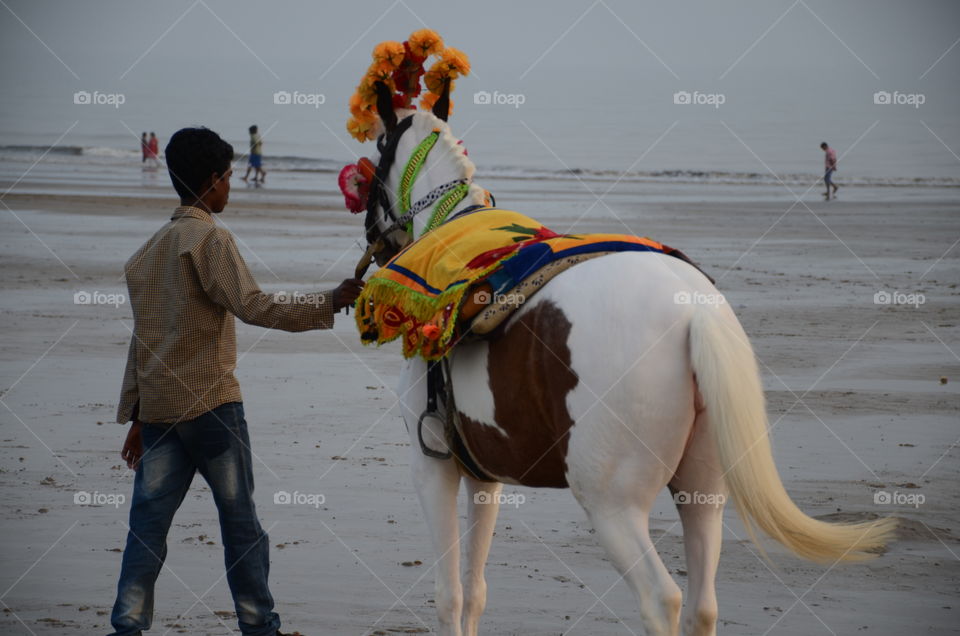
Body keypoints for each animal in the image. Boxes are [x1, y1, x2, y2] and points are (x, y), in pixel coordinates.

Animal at [354, 85, 900, 636]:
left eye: (378, 146)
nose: (372, 237)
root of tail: (692, 310)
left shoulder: (433, 468)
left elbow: (449, 595)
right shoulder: (485, 476)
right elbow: (475, 592)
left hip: (612, 504)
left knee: (662, 599)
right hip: (703, 493)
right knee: (702, 604)